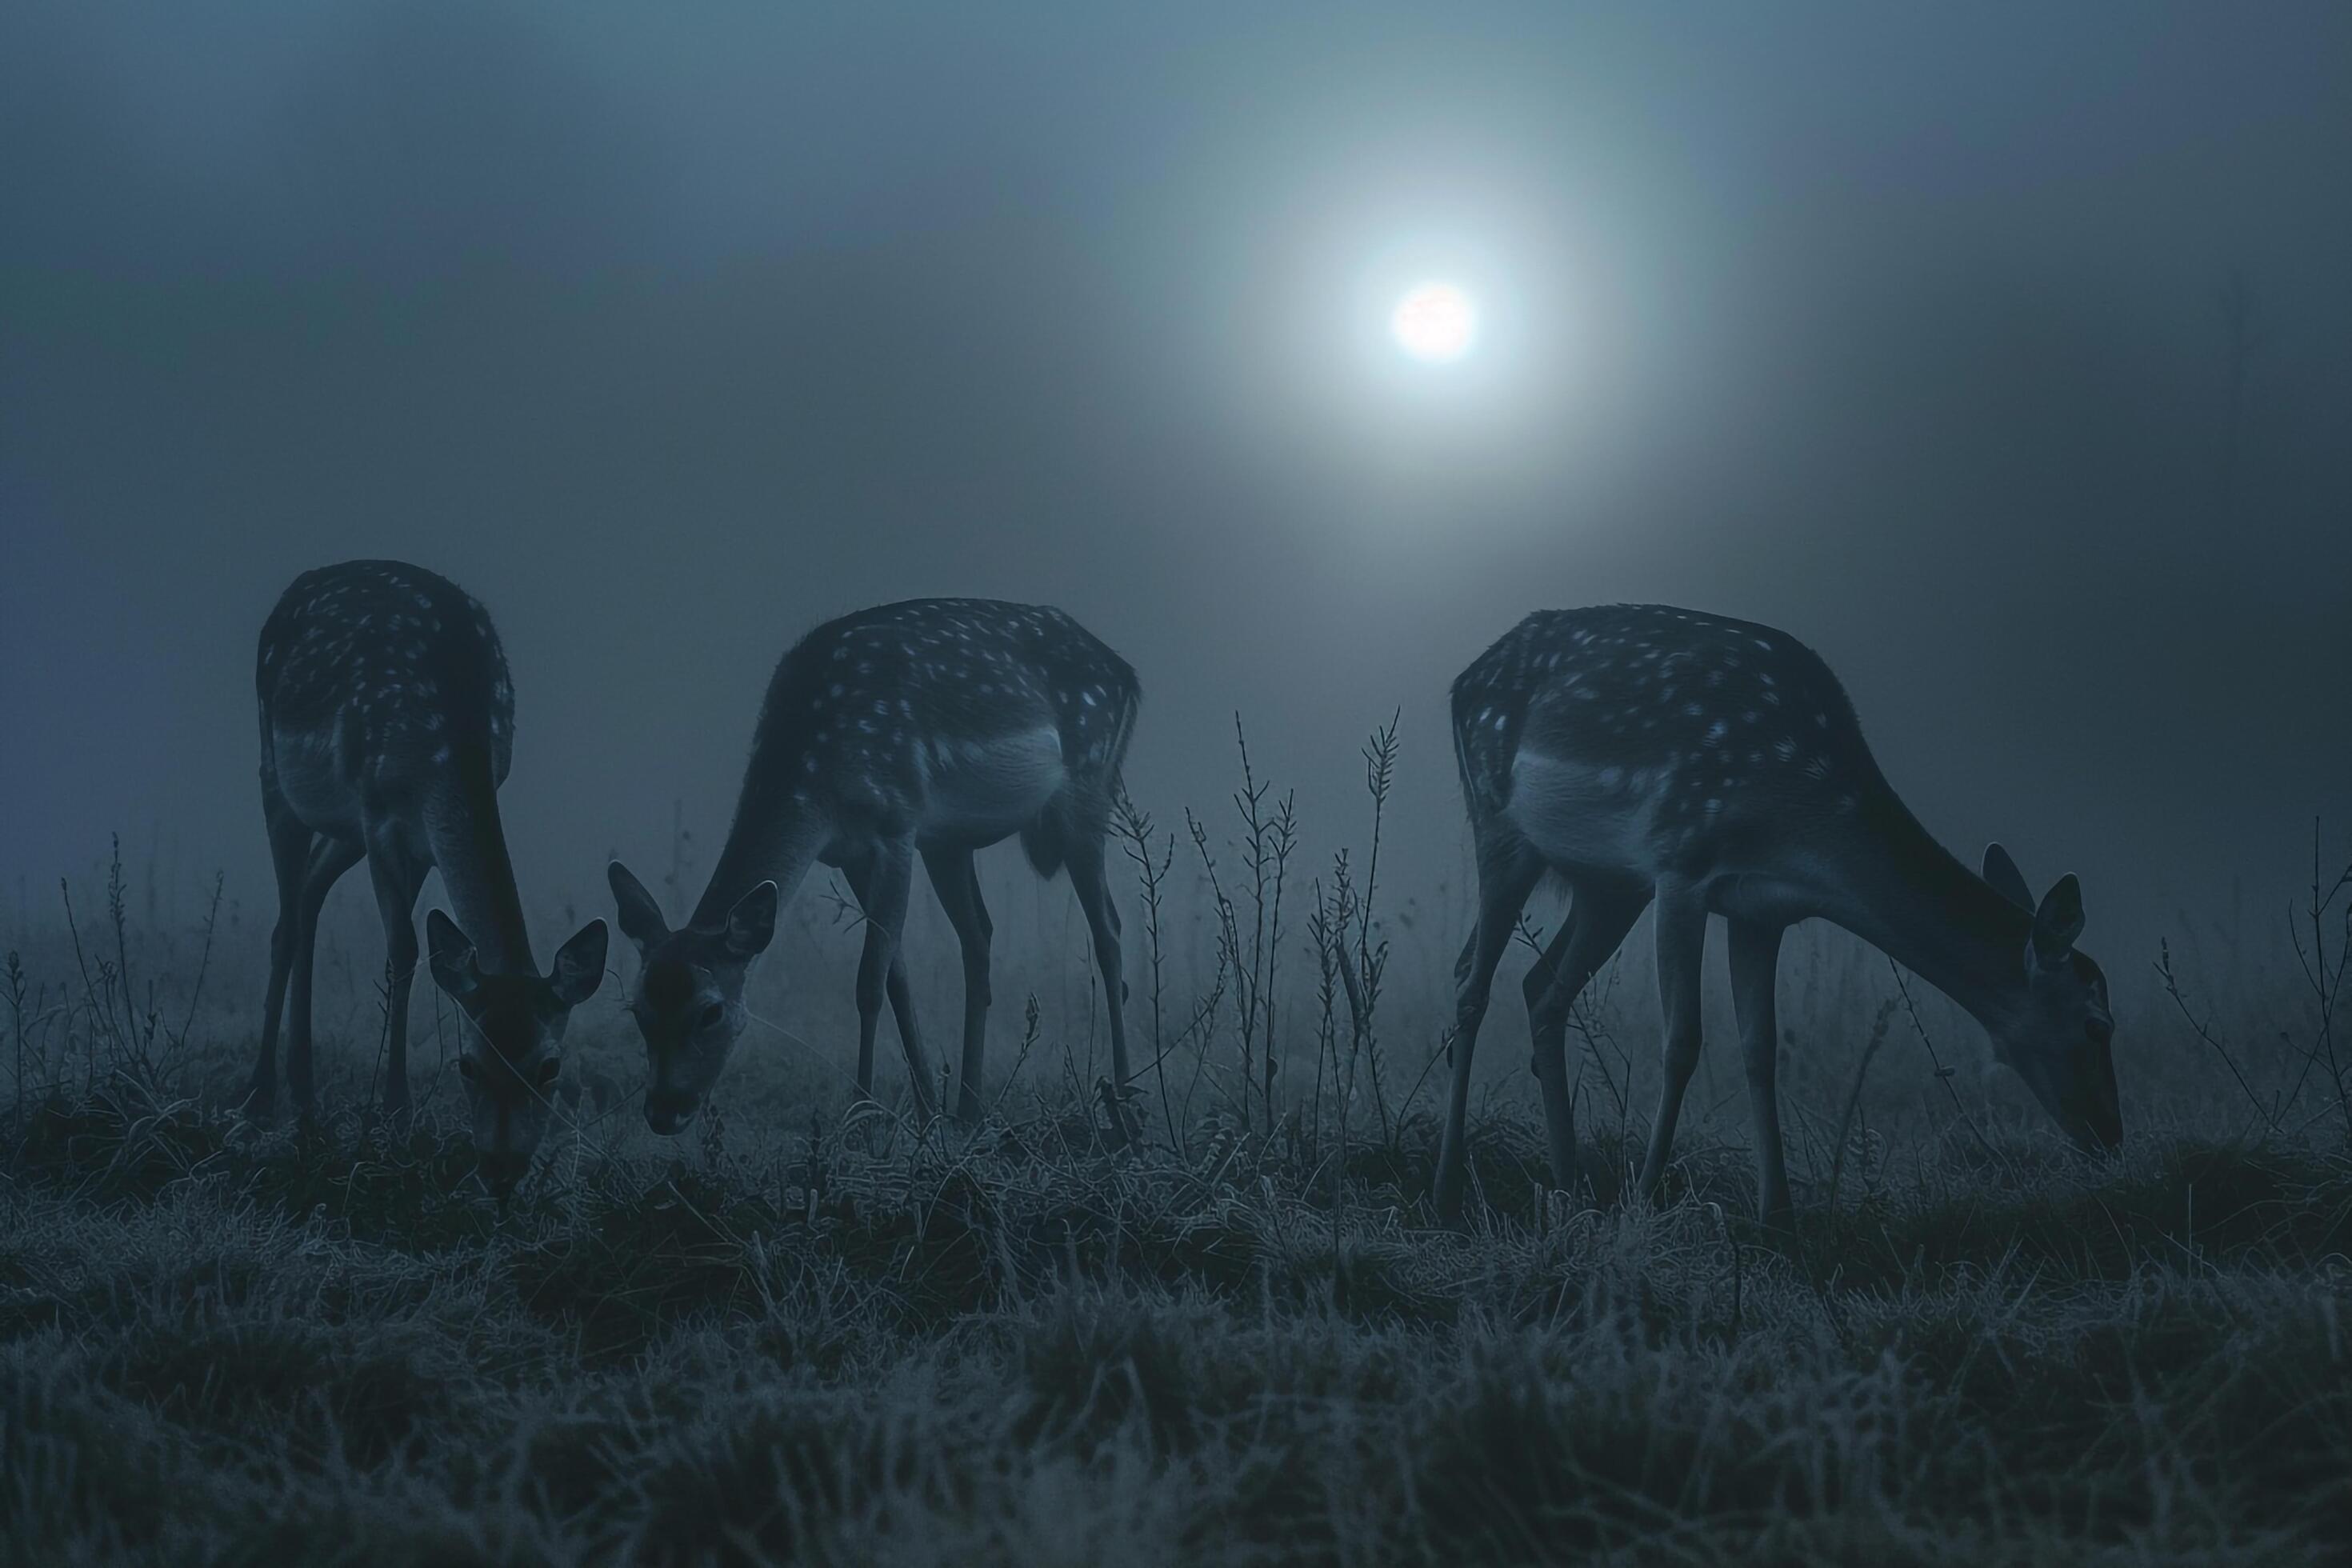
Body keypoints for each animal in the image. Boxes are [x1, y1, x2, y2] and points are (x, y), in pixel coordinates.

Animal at [246, 562, 606, 1189]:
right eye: (468, 1064)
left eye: (549, 1066)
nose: (505, 1164)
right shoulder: (381, 820)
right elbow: (404, 952)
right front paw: (394, 1115)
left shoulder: (418, 836)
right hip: (279, 773)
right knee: (285, 923)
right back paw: (261, 1099)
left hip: (343, 828)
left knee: (309, 896)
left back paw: (306, 1095)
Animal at [611, 597, 1142, 1128]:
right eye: (637, 1009)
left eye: (711, 1011)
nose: (664, 1111)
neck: (819, 780)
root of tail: (1127, 674)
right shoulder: (849, 853)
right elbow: (896, 976)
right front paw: (925, 1108)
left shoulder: (895, 823)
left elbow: (868, 980)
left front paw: (861, 1115)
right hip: (949, 841)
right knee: (980, 935)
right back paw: (967, 1107)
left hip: (1087, 785)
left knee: (1109, 930)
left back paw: (1124, 1105)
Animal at [1420, 606, 2126, 1231]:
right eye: (2097, 1026)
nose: (2112, 1139)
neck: (1800, 830)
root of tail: (1460, 682)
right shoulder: (1682, 860)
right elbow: (1683, 1040)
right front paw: (1644, 1202)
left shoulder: (1761, 910)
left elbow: (1761, 1048)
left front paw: (1778, 1216)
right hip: (1501, 822)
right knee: (1471, 982)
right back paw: (1449, 1190)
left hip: (1609, 884)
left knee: (1540, 987)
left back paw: (1568, 1189)